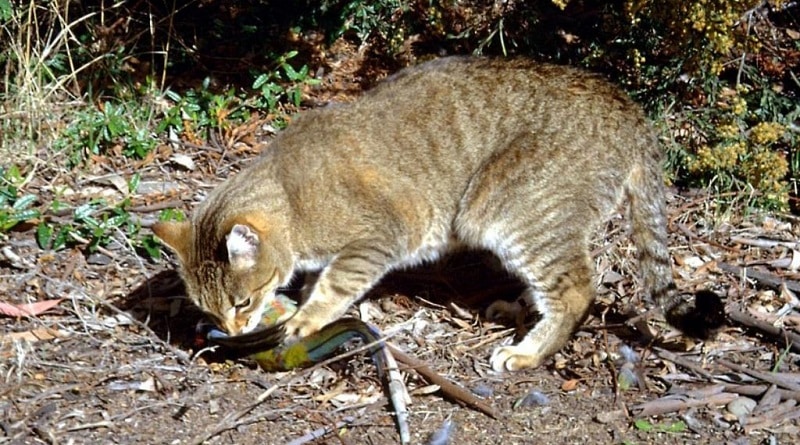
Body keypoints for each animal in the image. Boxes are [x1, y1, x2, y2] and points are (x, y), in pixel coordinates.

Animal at [153, 57, 720, 372]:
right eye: (210, 309)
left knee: (577, 286)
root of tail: (629, 108)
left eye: (242, 301)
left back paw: (529, 351)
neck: (291, 198)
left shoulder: (378, 237)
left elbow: (335, 284)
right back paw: (518, 308)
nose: (231, 327)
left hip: (509, 212)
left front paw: (306, 318)